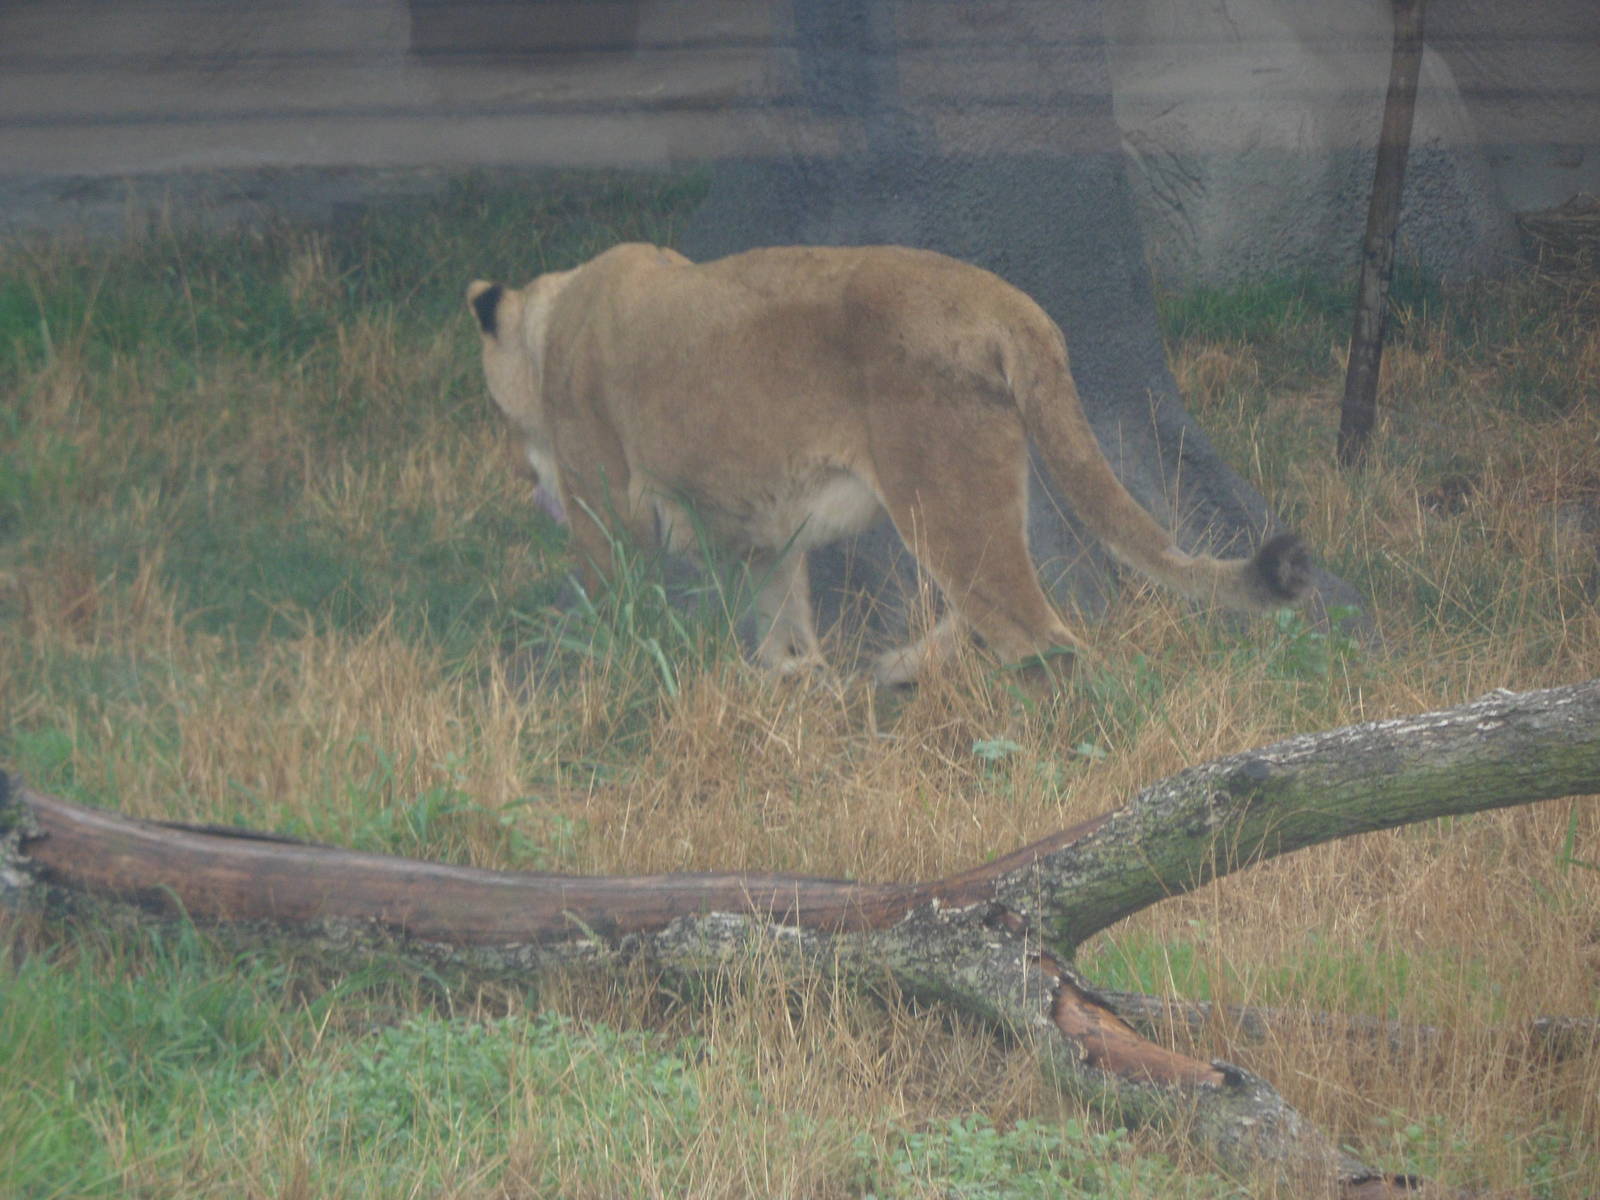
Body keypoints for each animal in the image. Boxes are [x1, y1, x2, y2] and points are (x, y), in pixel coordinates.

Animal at [467, 243, 1310, 684]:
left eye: (504, 417)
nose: (520, 475)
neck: (552, 322)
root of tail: (1010, 303)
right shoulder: (769, 544)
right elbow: (786, 639)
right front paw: (796, 699)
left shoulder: (605, 519)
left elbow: (599, 618)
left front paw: (579, 689)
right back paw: (899, 669)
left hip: (942, 498)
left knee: (1041, 637)